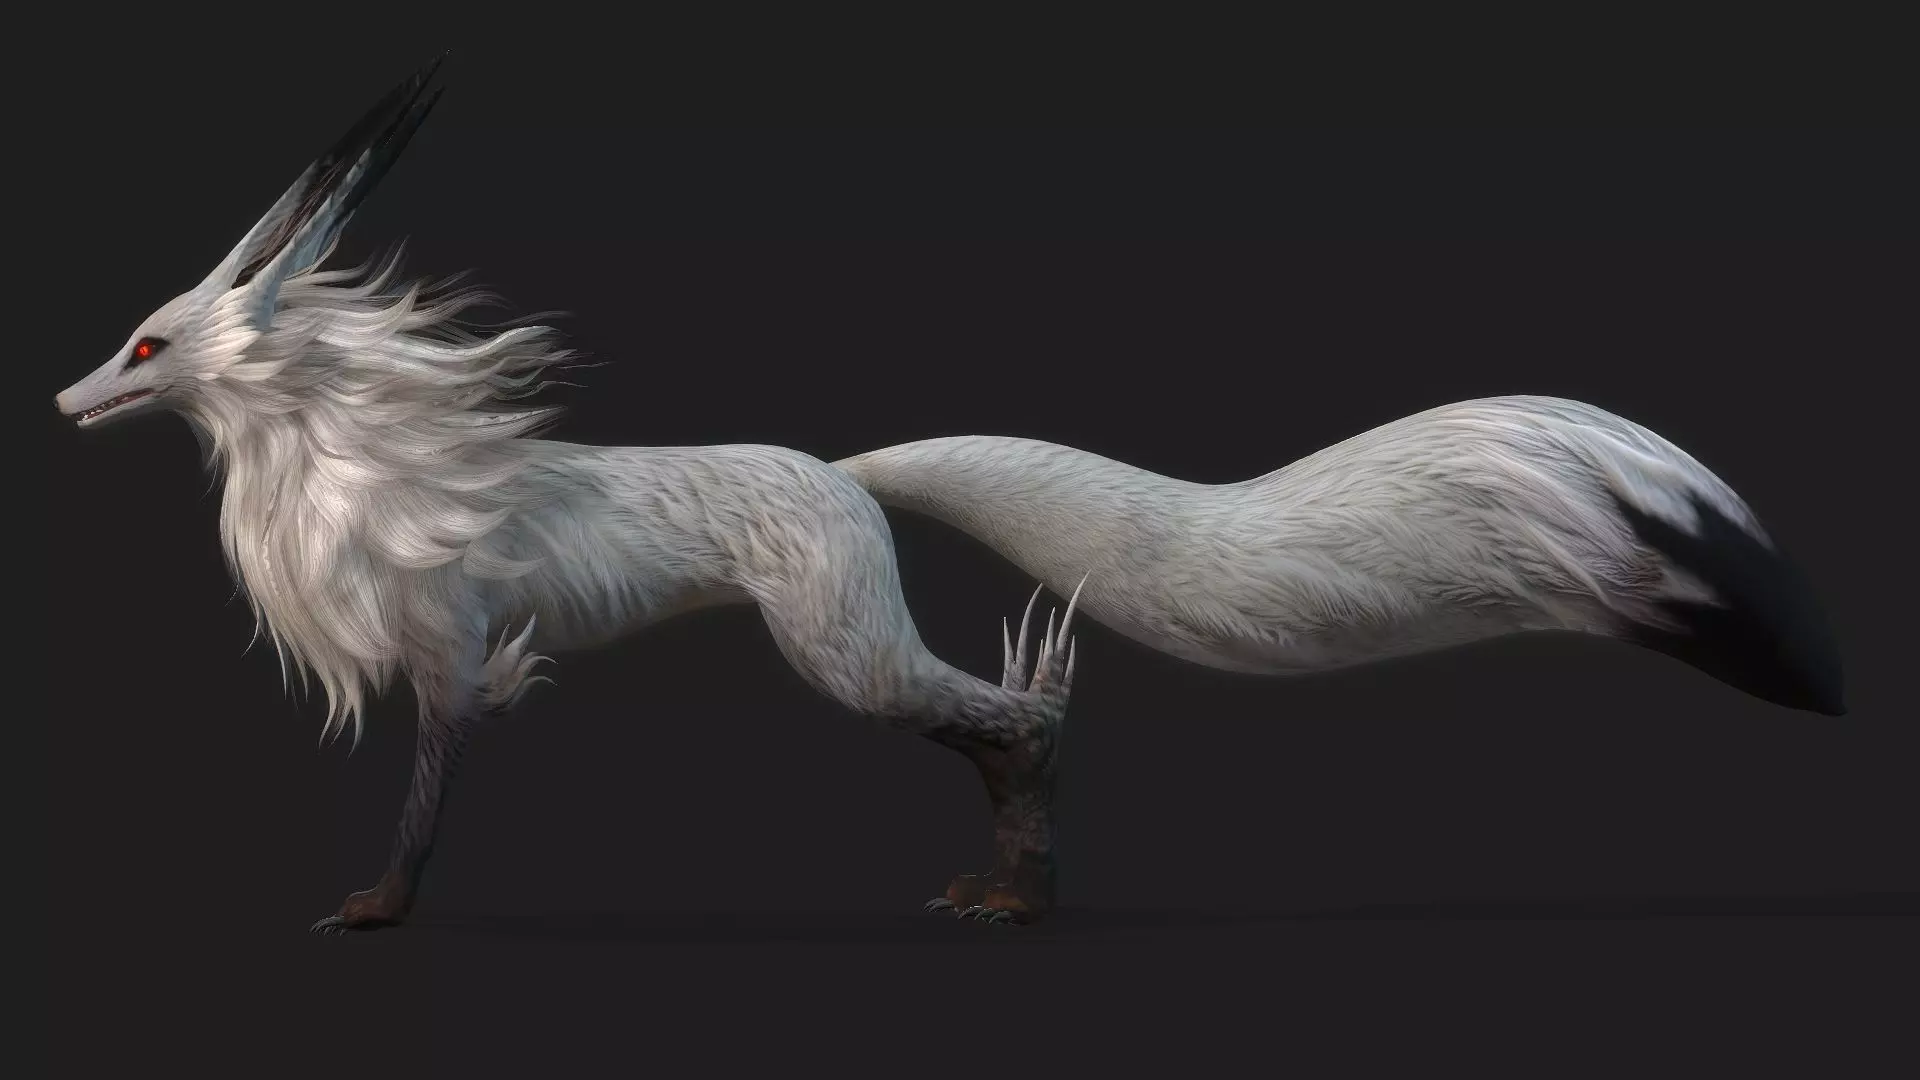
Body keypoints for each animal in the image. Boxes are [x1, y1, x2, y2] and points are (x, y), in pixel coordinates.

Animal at [56, 58, 1843, 932]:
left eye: (144, 340)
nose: (62, 403)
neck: (356, 461)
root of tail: (838, 474)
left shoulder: (454, 648)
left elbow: (428, 798)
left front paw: (373, 913)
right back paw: (1008, 885)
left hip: (831, 646)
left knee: (1016, 719)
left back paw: (1019, 896)